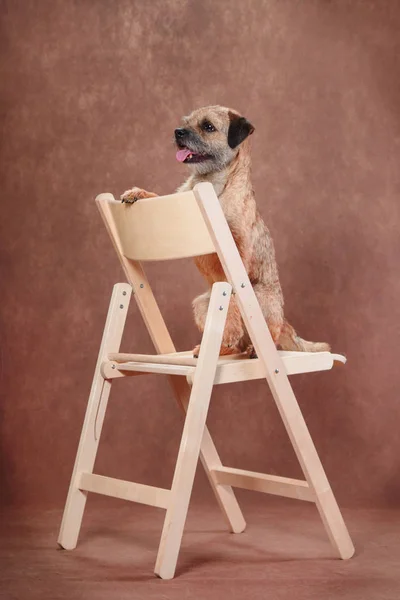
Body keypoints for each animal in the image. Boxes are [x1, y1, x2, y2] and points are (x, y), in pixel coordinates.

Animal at [120, 104, 330, 356]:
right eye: (187, 122)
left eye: (208, 126)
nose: (178, 132)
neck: (210, 183)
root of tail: (285, 321)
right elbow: (157, 196)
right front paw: (136, 192)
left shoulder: (235, 252)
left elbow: (231, 296)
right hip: (202, 304)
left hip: (259, 297)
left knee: (267, 334)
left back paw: (252, 348)